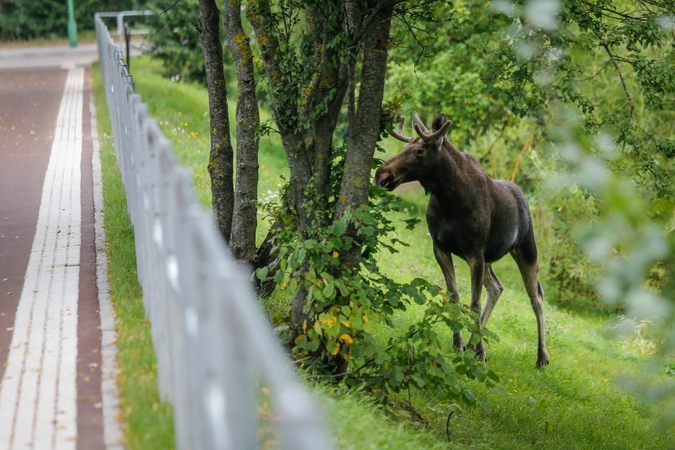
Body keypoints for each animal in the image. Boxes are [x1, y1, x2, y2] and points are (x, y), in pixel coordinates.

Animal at [374, 112, 548, 370]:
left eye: (419, 151)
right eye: (405, 146)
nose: (382, 174)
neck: (449, 198)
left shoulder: (475, 251)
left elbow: (474, 303)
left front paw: (480, 352)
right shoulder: (441, 247)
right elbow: (454, 296)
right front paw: (460, 343)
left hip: (526, 249)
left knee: (536, 297)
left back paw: (541, 358)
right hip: (490, 258)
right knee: (497, 287)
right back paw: (475, 340)